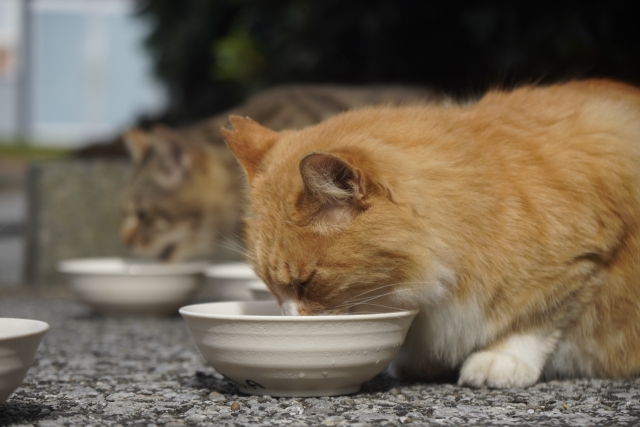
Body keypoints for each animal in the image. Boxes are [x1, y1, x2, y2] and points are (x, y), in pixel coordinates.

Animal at [222, 78, 640, 390]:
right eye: (271, 288)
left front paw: (500, 360)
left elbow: (537, 318)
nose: (287, 323)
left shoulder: (585, 259)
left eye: (306, 283)